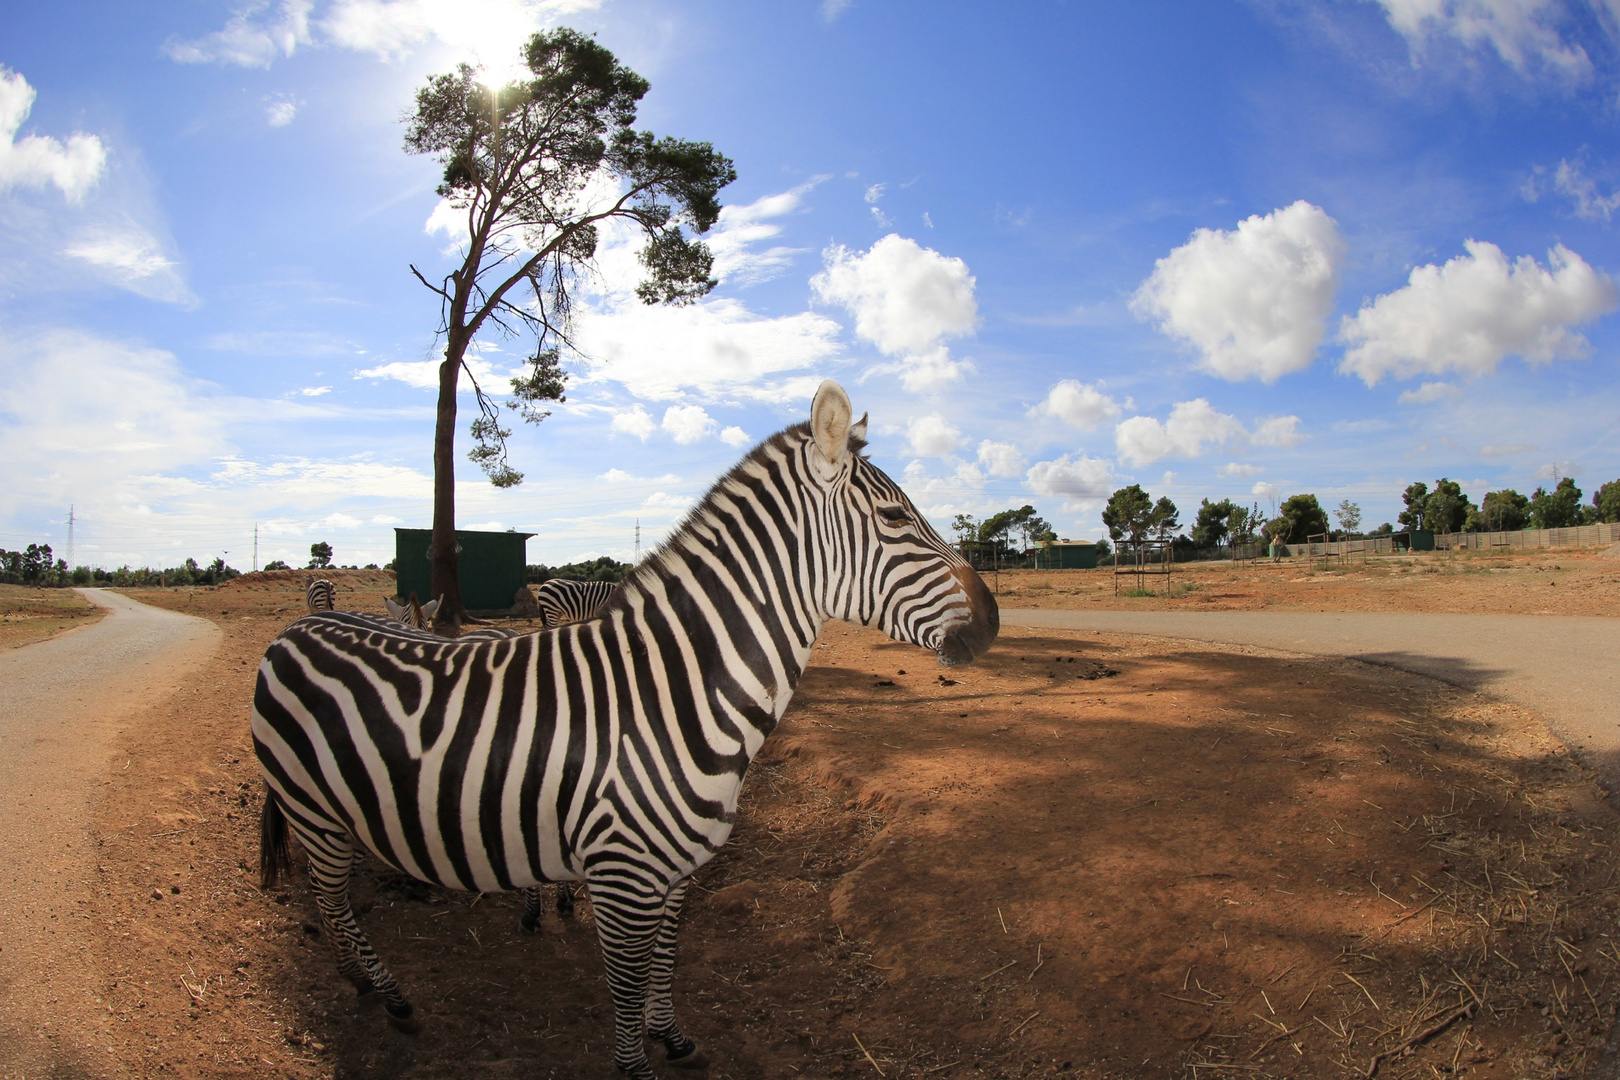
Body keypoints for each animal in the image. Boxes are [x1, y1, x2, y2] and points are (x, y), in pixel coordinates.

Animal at [249, 382, 997, 1080]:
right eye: (895, 516)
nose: (992, 621)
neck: (669, 693)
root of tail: (301, 625)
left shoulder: (674, 872)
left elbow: (664, 961)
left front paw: (672, 1036)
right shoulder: (622, 873)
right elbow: (628, 982)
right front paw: (636, 1063)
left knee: (331, 899)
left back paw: (359, 979)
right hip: (314, 812)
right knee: (331, 899)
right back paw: (387, 994)